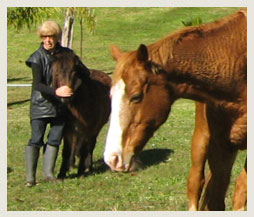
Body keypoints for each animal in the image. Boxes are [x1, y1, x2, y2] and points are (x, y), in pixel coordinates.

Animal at [51, 50, 111, 178]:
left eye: (74, 73)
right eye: (56, 73)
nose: (65, 97)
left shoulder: (87, 131)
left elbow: (84, 149)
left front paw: (80, 172)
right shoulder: (67, 130)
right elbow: (66, 151)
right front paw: (62, 174)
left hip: (95, 129)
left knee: (90, 146)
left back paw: (89, 166)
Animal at [103, 9, 246, 210]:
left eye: (136, 96)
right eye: (111, 96)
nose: (112, 158)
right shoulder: (220, 147)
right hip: (202, 139)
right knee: (196, 183)